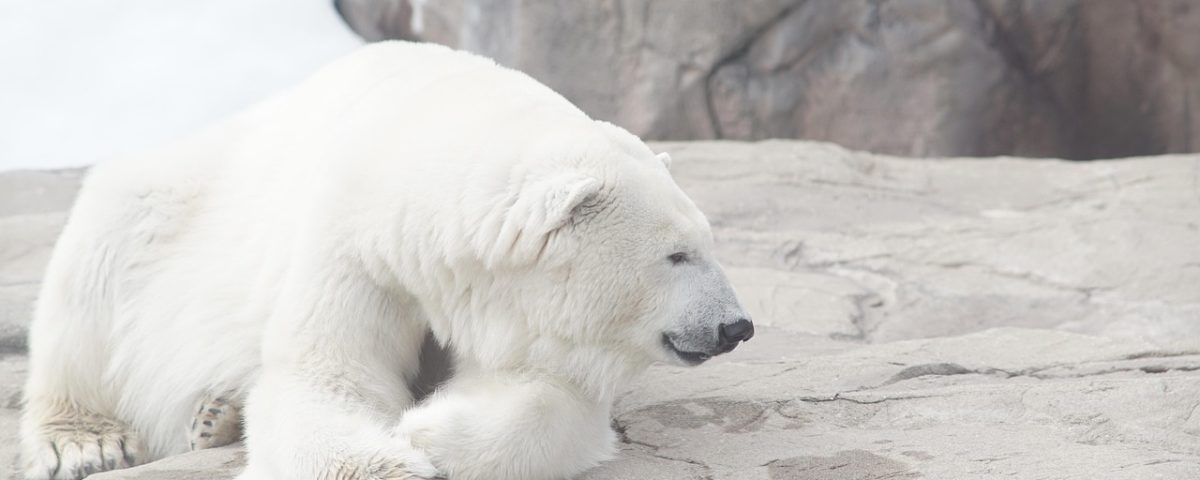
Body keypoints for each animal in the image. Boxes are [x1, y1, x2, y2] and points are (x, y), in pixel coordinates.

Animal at [20, 41, 754, 480]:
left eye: (708, 242)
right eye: (677, 254)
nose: (736, 326)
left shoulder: (505, 304)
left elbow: (551, 395)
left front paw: (428, 433)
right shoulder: (354, 246)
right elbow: (326, 377)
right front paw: (396, 456)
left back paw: (215, 415)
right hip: (165, 205)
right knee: (93, 278)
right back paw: (87, 440)